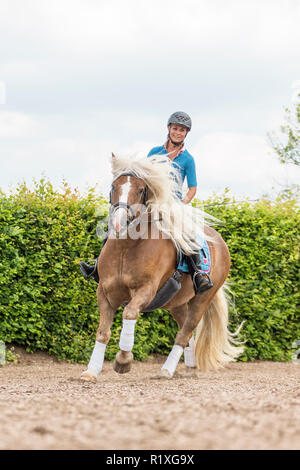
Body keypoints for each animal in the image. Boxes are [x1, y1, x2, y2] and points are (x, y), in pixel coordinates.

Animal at [80, 154, 244, 382]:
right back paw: (189, 368)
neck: (126, 248)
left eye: (141, 189)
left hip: (202, 300)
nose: (119, 222)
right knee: (186, 334)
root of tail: (219, 240)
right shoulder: (105, 292)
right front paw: (91, 371)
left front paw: (123, 361)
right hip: (177, 303)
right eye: (113, 186)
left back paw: (166, 370)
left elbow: (129, 313)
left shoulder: (146, 291)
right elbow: (103, 332)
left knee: (184, 334)